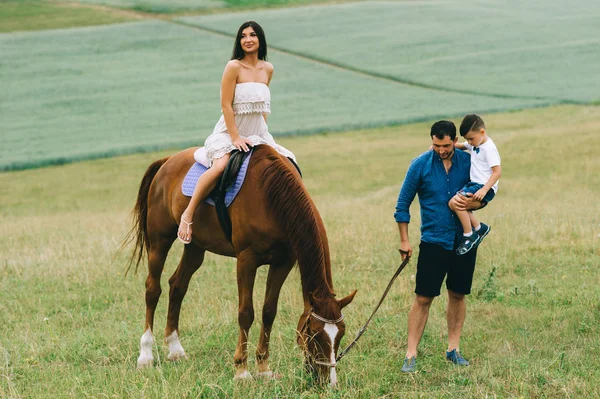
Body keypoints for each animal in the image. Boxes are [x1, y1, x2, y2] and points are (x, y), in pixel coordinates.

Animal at [126, 145, 356, 388]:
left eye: (341, 334)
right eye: (314, 334)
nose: (329, 382)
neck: (271, 195)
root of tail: (167, 160)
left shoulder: (283, 262)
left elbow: (268, 312)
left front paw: (264, 368)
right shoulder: (246, 260)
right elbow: (246, 313)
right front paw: (241, 371)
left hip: (195, 247)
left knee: (177, 286)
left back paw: (175, 348)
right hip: (159, 241)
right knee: (153, 289)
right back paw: (146, 355)